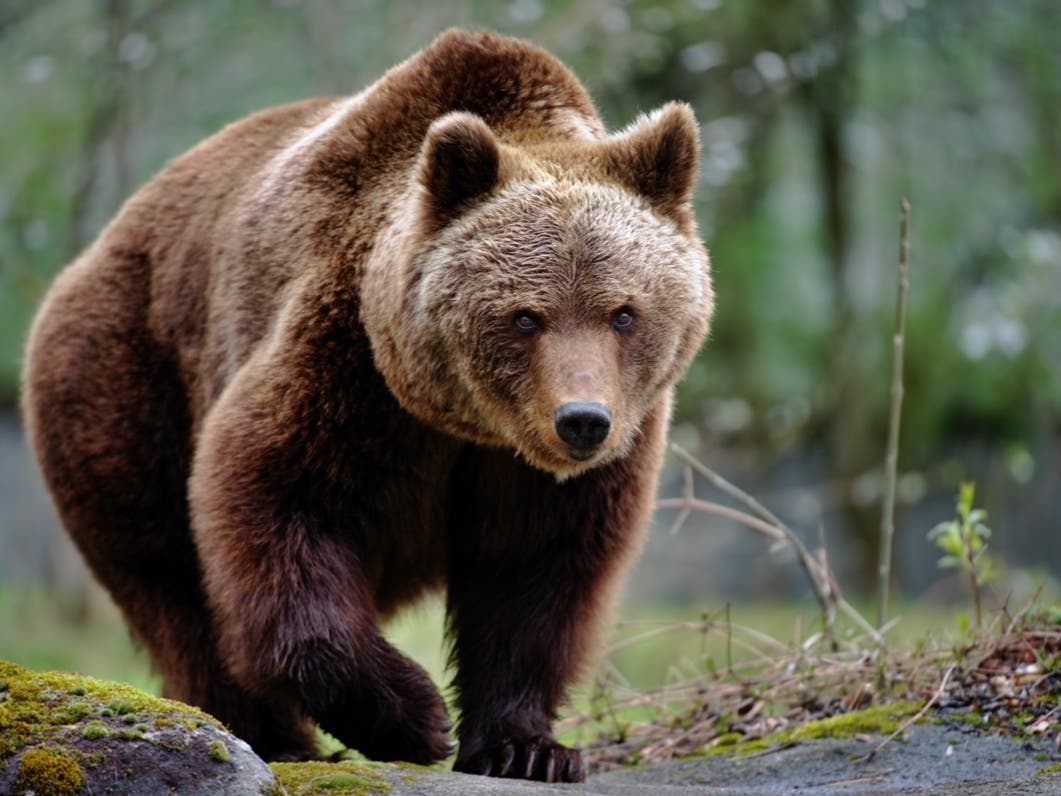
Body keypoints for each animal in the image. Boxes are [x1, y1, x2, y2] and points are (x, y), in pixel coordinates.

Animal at [21, 29, 713, 782]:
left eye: (624, 313)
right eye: (526, 316)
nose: (582, 420)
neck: (464, 422)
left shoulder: (557, 465)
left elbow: (535, 572)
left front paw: (526, 748)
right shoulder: (347, 364)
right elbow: (277, 504)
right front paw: (415, 716)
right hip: (125, 377)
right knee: (171, 579)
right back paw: (272, 735)